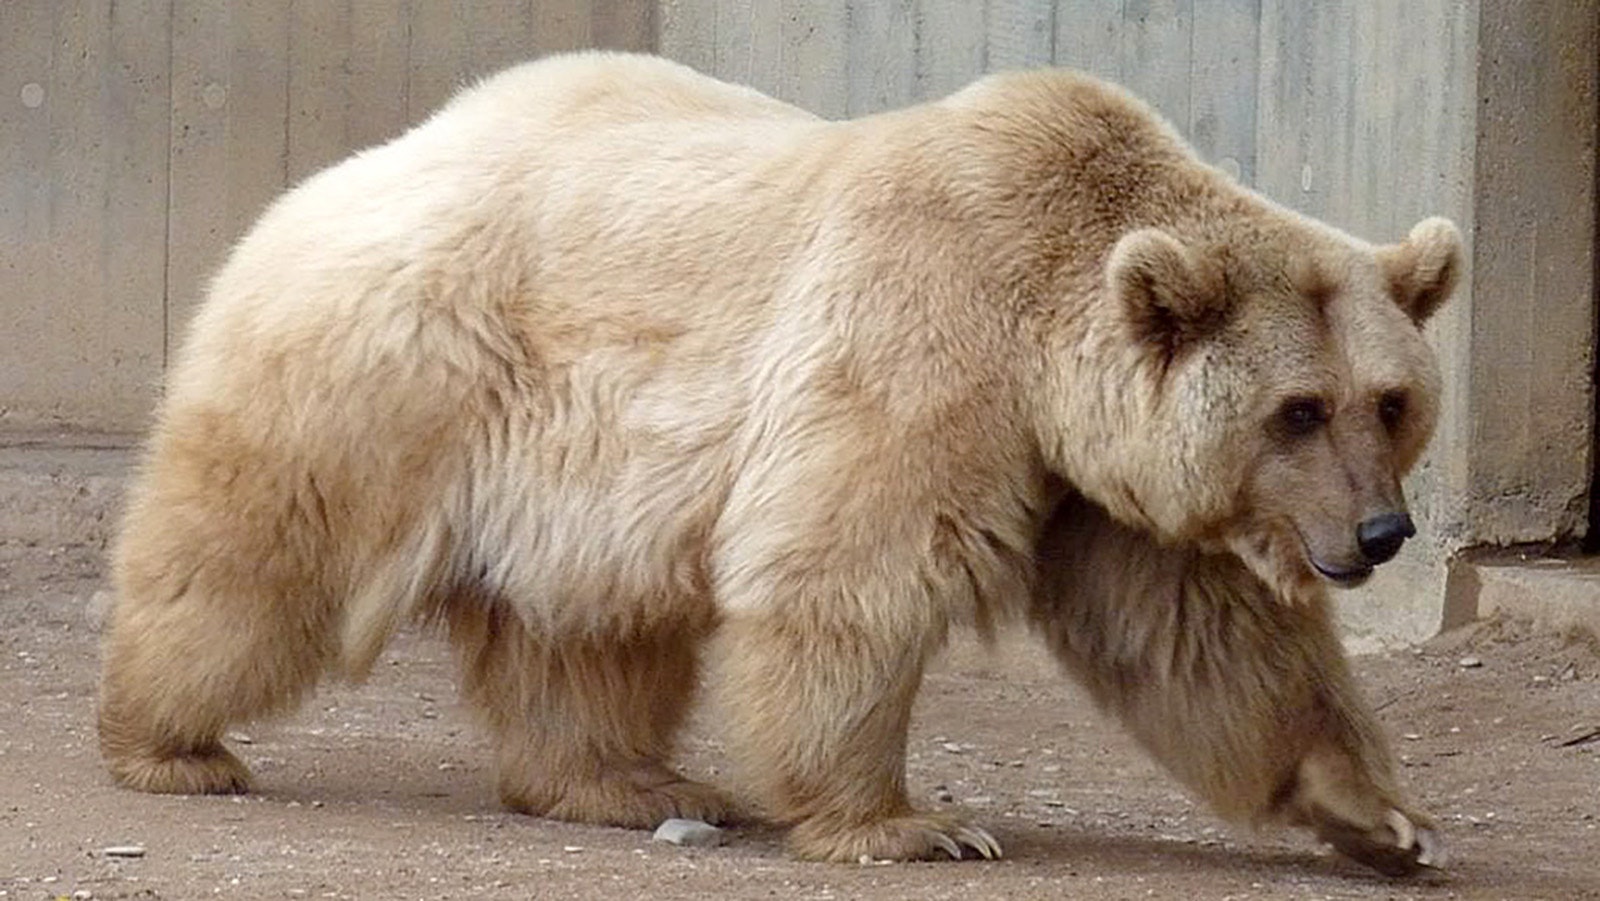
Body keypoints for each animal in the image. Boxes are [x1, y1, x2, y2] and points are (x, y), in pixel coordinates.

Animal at [93, 51, 1459, 876]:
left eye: (1389, 402)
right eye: (1297, 409)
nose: (1380, 535)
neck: (1044, 334)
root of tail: (336, 173)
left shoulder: (1092, 480)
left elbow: (1203, 635)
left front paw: (1382, 816)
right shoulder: (925, 340)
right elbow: (850, 568)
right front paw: (914, 823)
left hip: (575, 473)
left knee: (585, 632)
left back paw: (627, 779)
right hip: (395, 372)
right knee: (256, 555)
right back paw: (169, 742)